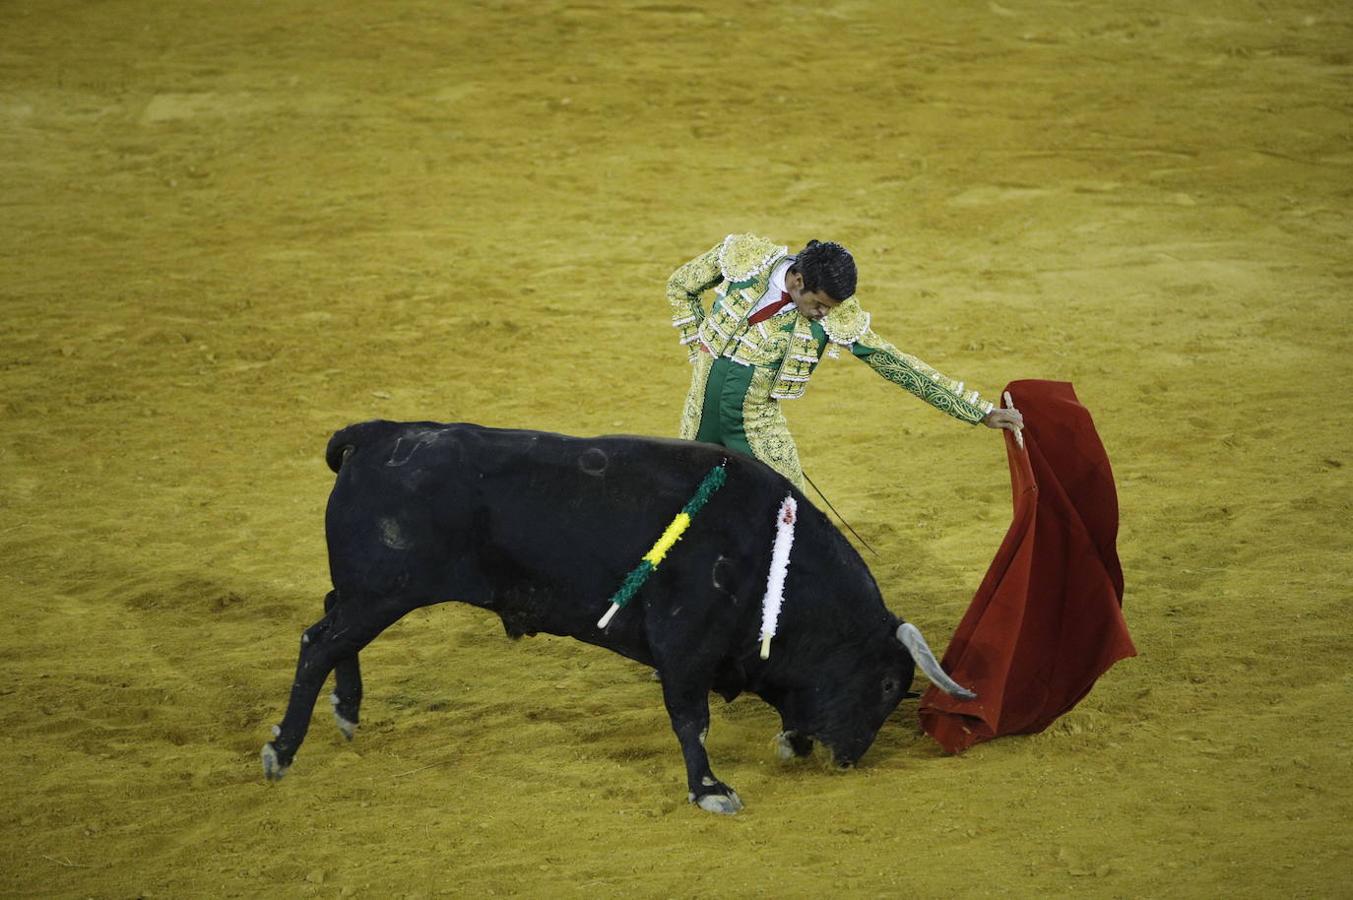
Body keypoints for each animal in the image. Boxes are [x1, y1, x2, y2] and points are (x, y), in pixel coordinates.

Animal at [261, 422, 974, 812]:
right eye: (890, 684)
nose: (846, 760)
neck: (771, 558)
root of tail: (376, 433)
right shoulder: (686, 646)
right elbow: (691, 719)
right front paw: (710, 789)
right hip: (385, 592)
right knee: (317, 643)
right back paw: (281, 751)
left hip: (367, 593)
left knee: (331, 627)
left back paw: (347, 712)